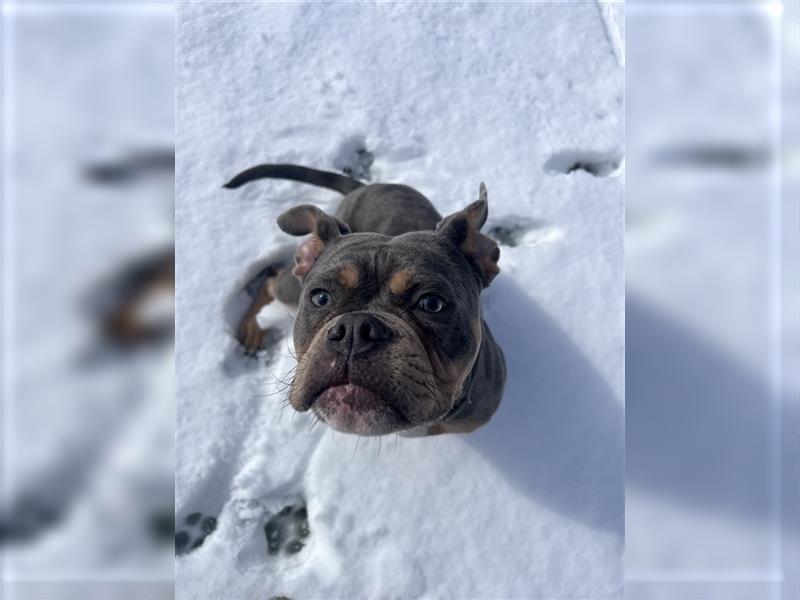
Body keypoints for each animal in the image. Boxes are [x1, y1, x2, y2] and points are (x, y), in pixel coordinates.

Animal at [223, 164, 506, 436]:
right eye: (321, 297)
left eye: (432, 304)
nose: (354, 330)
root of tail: (363, 187)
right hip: (290, 288)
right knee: (271, 279)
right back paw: (252, 329)